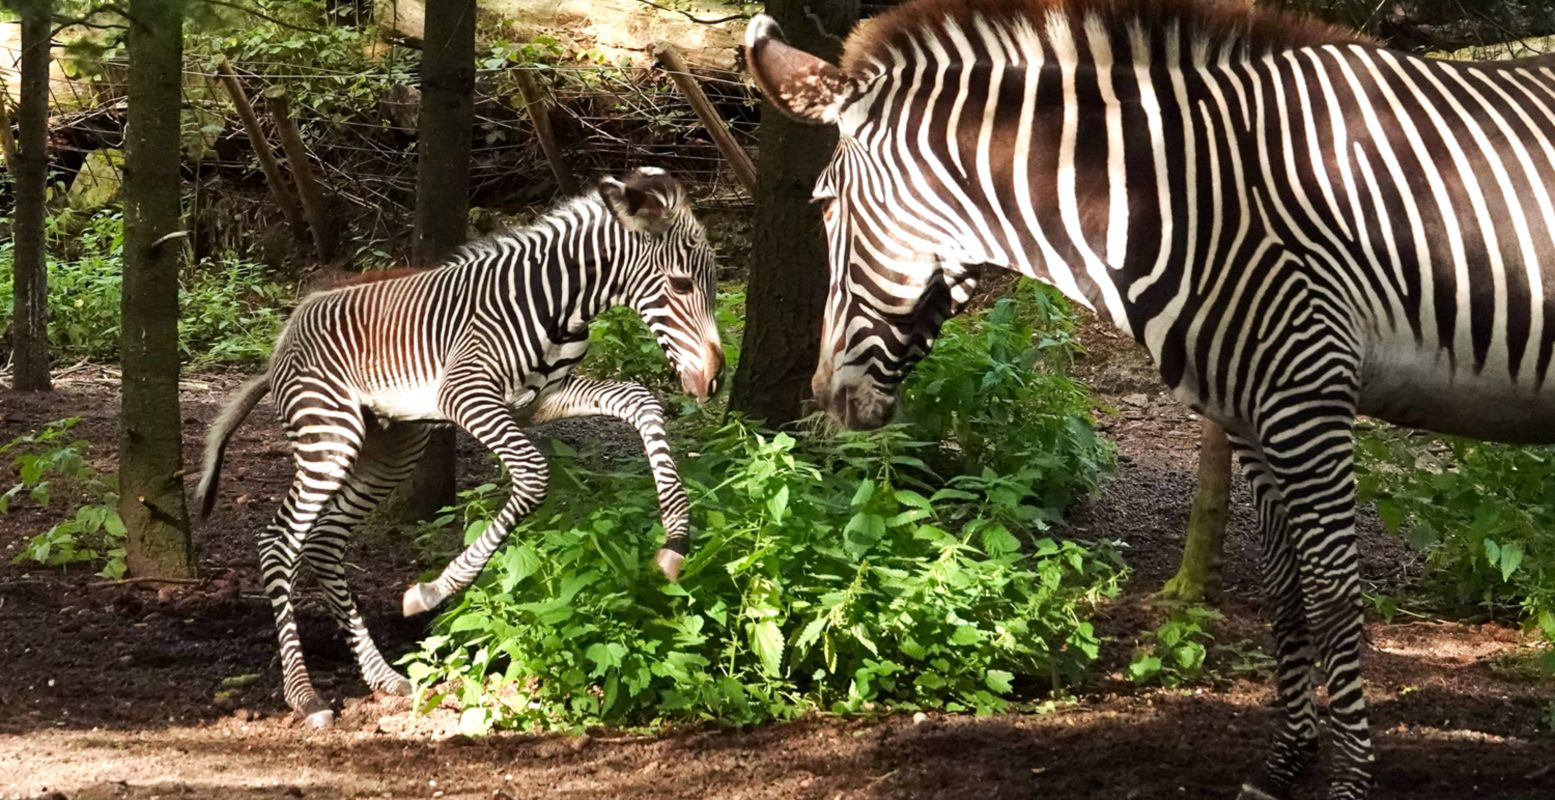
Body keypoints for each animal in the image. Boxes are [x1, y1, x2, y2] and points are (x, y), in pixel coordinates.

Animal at [197, 169, 724, 728]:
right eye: (681, 284)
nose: (714, 380)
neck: (558, 304)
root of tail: (283, 338)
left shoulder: (541, 400)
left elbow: (642, 401)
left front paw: (675, 541)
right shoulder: (464, 395)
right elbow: (534, 474)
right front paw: (431, 591)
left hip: (390, 445)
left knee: (323, 542)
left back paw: (382, 677)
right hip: (330, 435)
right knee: (278, 542)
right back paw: (306, 696)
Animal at [743, 1, 1555, 796]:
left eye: (822, 208)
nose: (827, 398)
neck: (1181, 196)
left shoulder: (1307, 396)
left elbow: (1331, 597)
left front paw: (1349, 783)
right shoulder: (1250, 416)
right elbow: (1285, 592)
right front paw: (1281, 766)